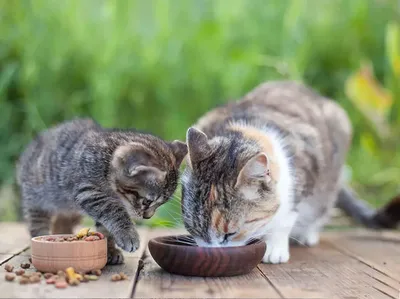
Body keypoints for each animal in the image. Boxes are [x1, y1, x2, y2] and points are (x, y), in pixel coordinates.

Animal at [17, 119, 188, 264]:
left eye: (160, 204)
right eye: (147, 201)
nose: (148, 217)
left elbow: (105, 227)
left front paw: (110, 249)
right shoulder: (88, 191)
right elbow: (113, 210)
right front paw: (128, 234)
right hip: (36, 198)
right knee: (36, 222)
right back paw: (41, 237)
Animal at [181, 81, 354, 264]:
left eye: (230, 234)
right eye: (193, 228)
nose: (211, 254)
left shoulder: (304, 170)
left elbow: (285, 218)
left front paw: (274, 248)